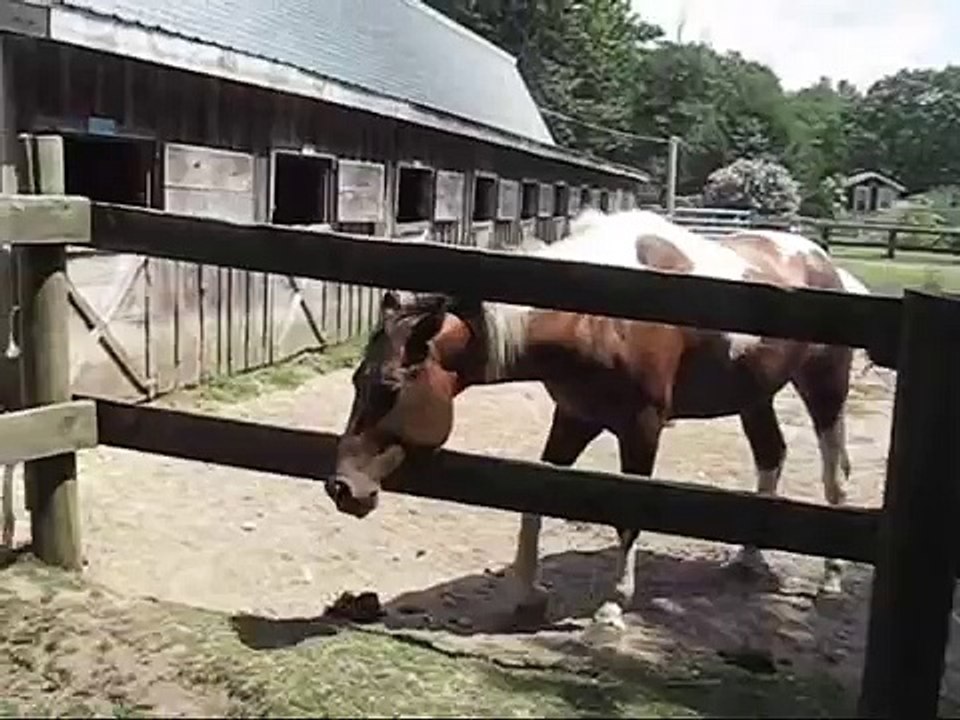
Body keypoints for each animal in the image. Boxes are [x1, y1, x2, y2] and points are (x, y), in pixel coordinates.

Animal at [324, 208, 874, 633]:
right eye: (355, 380)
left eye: (390, 388)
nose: (342, 488)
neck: (600, 313)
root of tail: (824, 263)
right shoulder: (574, 417)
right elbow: (535, 494)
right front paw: (527, 594)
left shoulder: (643, 427)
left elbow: (628, 513)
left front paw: (612, 606)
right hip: (753, 396)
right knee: (770, 456)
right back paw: (749, 558)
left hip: (823, 389)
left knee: (836, 475)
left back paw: (830, 577)